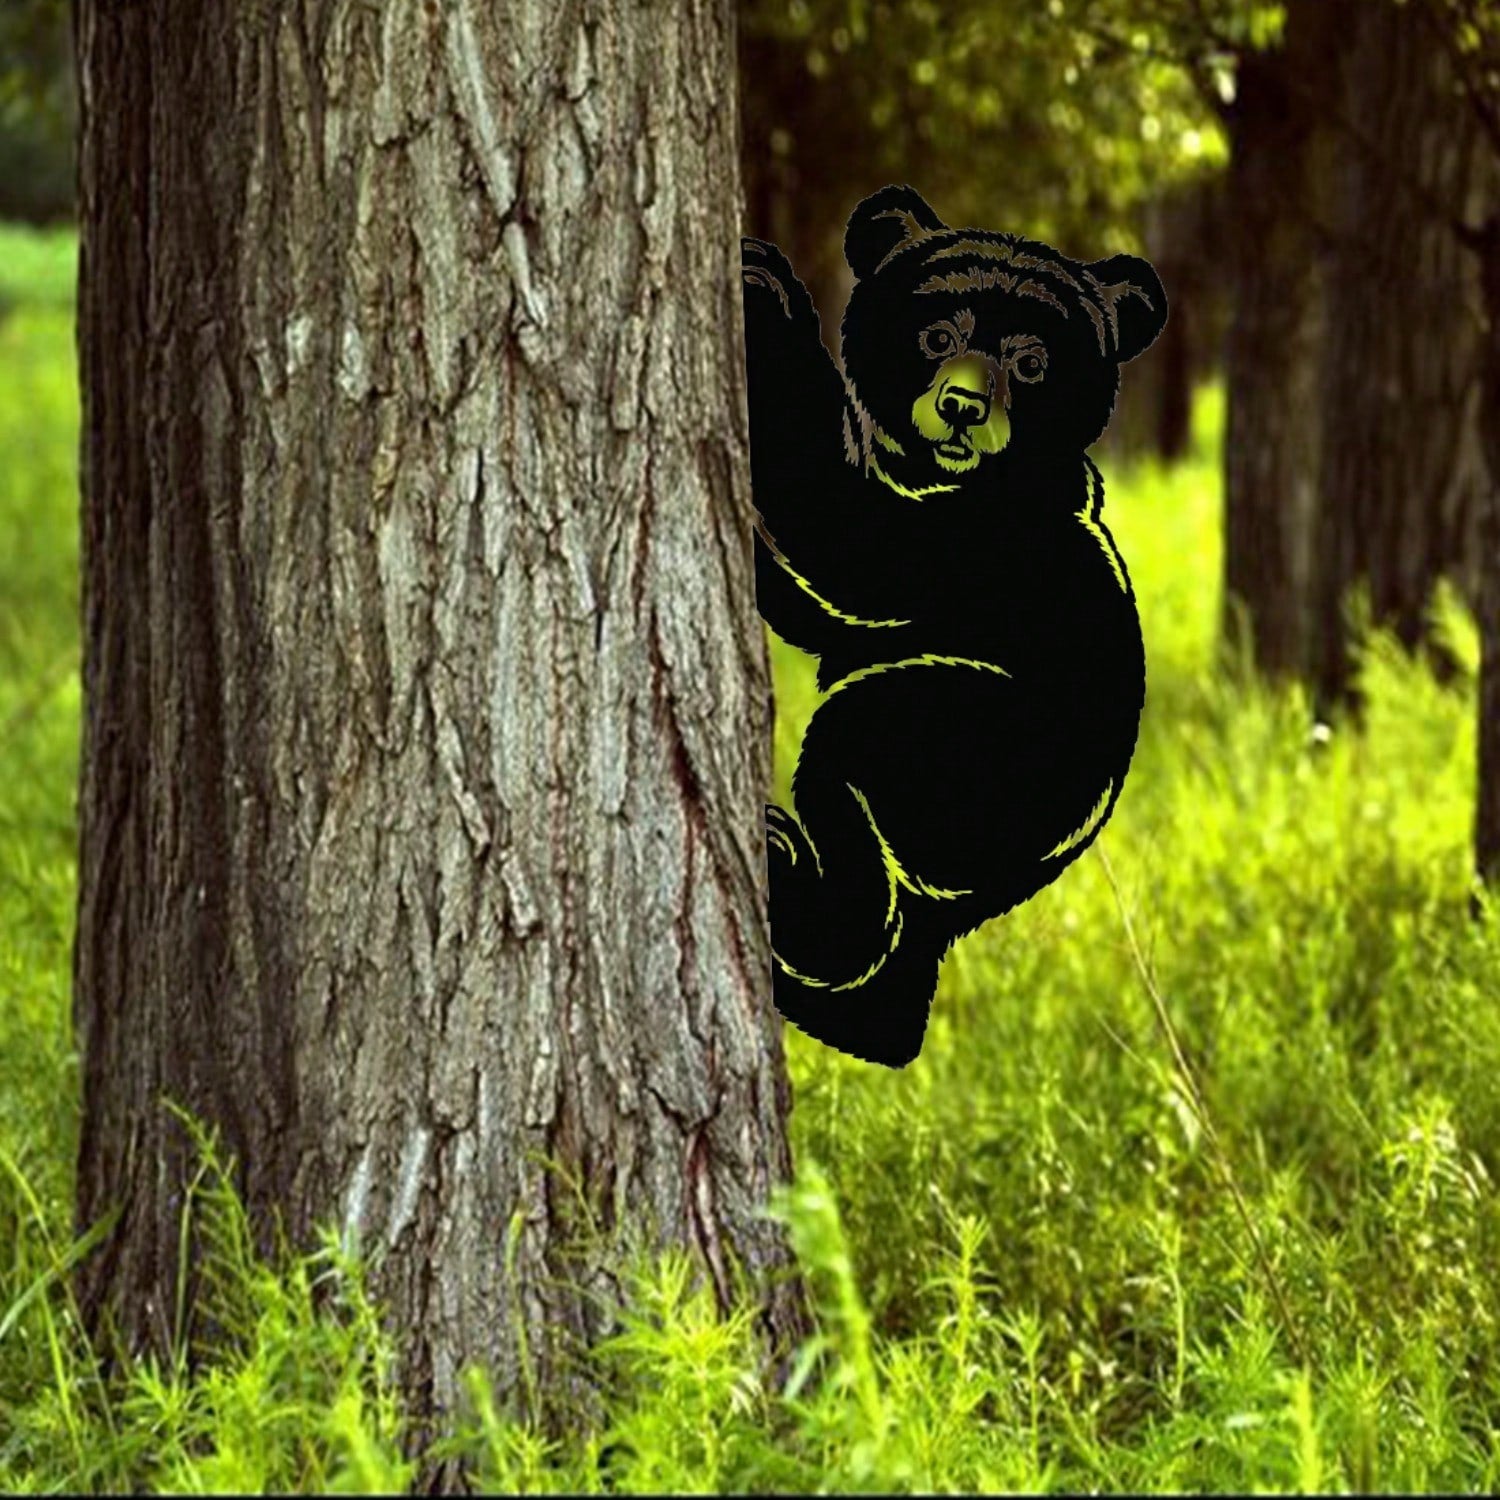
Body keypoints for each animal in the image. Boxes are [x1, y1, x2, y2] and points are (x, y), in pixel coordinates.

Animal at [741, 183, 1167, 1069]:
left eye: (1032, 361)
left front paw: (763, 288)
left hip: (976, 749)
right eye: (937, 334)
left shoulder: (976, 546)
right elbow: (821, 603)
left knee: (851, 764)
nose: (962, 405)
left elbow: (847, 540)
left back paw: (786, 857)